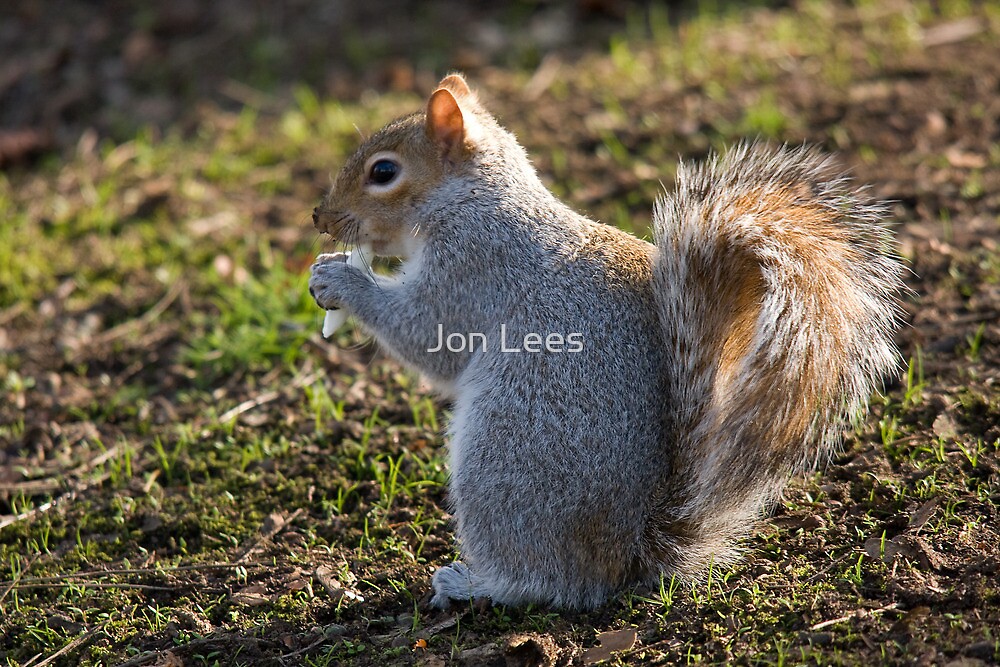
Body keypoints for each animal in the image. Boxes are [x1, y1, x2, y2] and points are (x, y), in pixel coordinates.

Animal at [308, 73, 905, 610]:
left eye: (384, 171)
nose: (319, 217)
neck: (470, 200)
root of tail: (630, 553)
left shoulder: (474, 268)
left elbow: (427, 335)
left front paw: (339, 281)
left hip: (502, 462)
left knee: (548, 583)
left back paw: (477, 585)